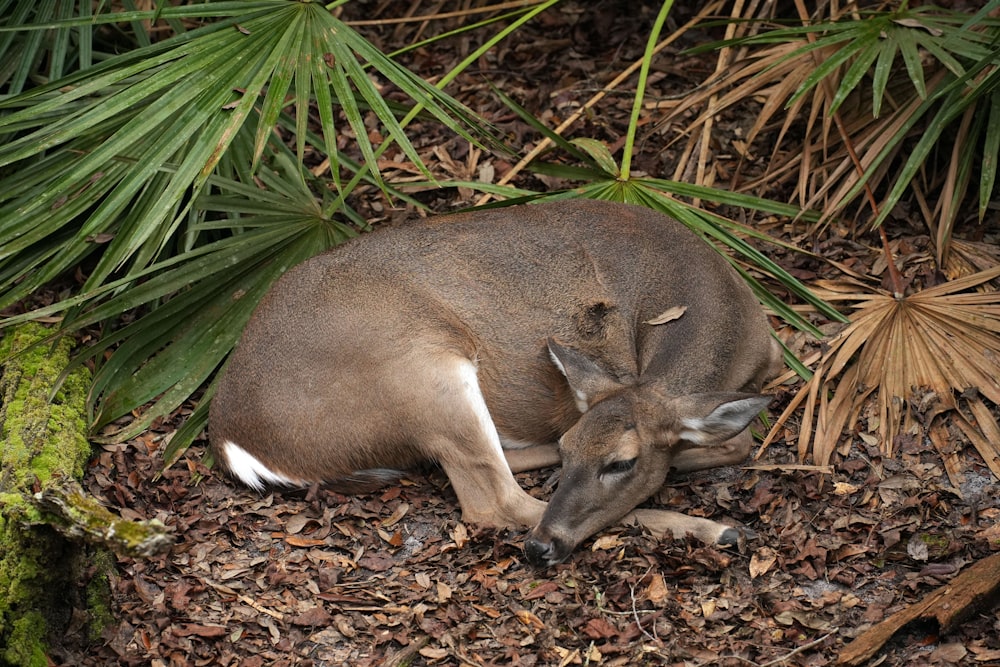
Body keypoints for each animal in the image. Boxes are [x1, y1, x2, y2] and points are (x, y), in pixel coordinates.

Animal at [211, 200, 784, 568]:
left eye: (623, 462)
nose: (542, 549)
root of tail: (230, 435)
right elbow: (736, 441)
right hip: (424, 368)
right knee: (494, 501)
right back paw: (718, 529)